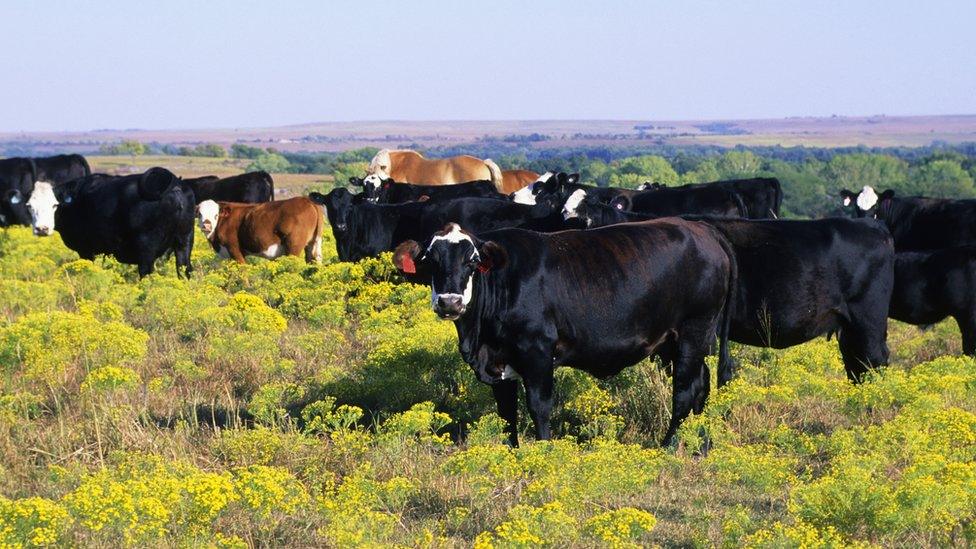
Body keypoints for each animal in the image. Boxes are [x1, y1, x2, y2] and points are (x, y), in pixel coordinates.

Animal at [43, 168, 195, 278]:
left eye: (53, 204)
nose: (41, 227)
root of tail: (174, 185)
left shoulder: (86, 250)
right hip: (184, 240)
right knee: (184, 269)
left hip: (147, 248)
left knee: (147, 274)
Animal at [388, 219, 732, 446]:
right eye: (430, 260)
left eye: (472, 261)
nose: (450, 302)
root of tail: (702, 229)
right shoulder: (499, 360)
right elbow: (506, 413)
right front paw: (513, 453)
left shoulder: (537, 350)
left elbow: (539, 406)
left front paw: (544, 451)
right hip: (677, 341)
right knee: (700, 384)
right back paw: (699, 443)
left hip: (694, 332)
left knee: (685, 390)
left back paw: (669, 445)